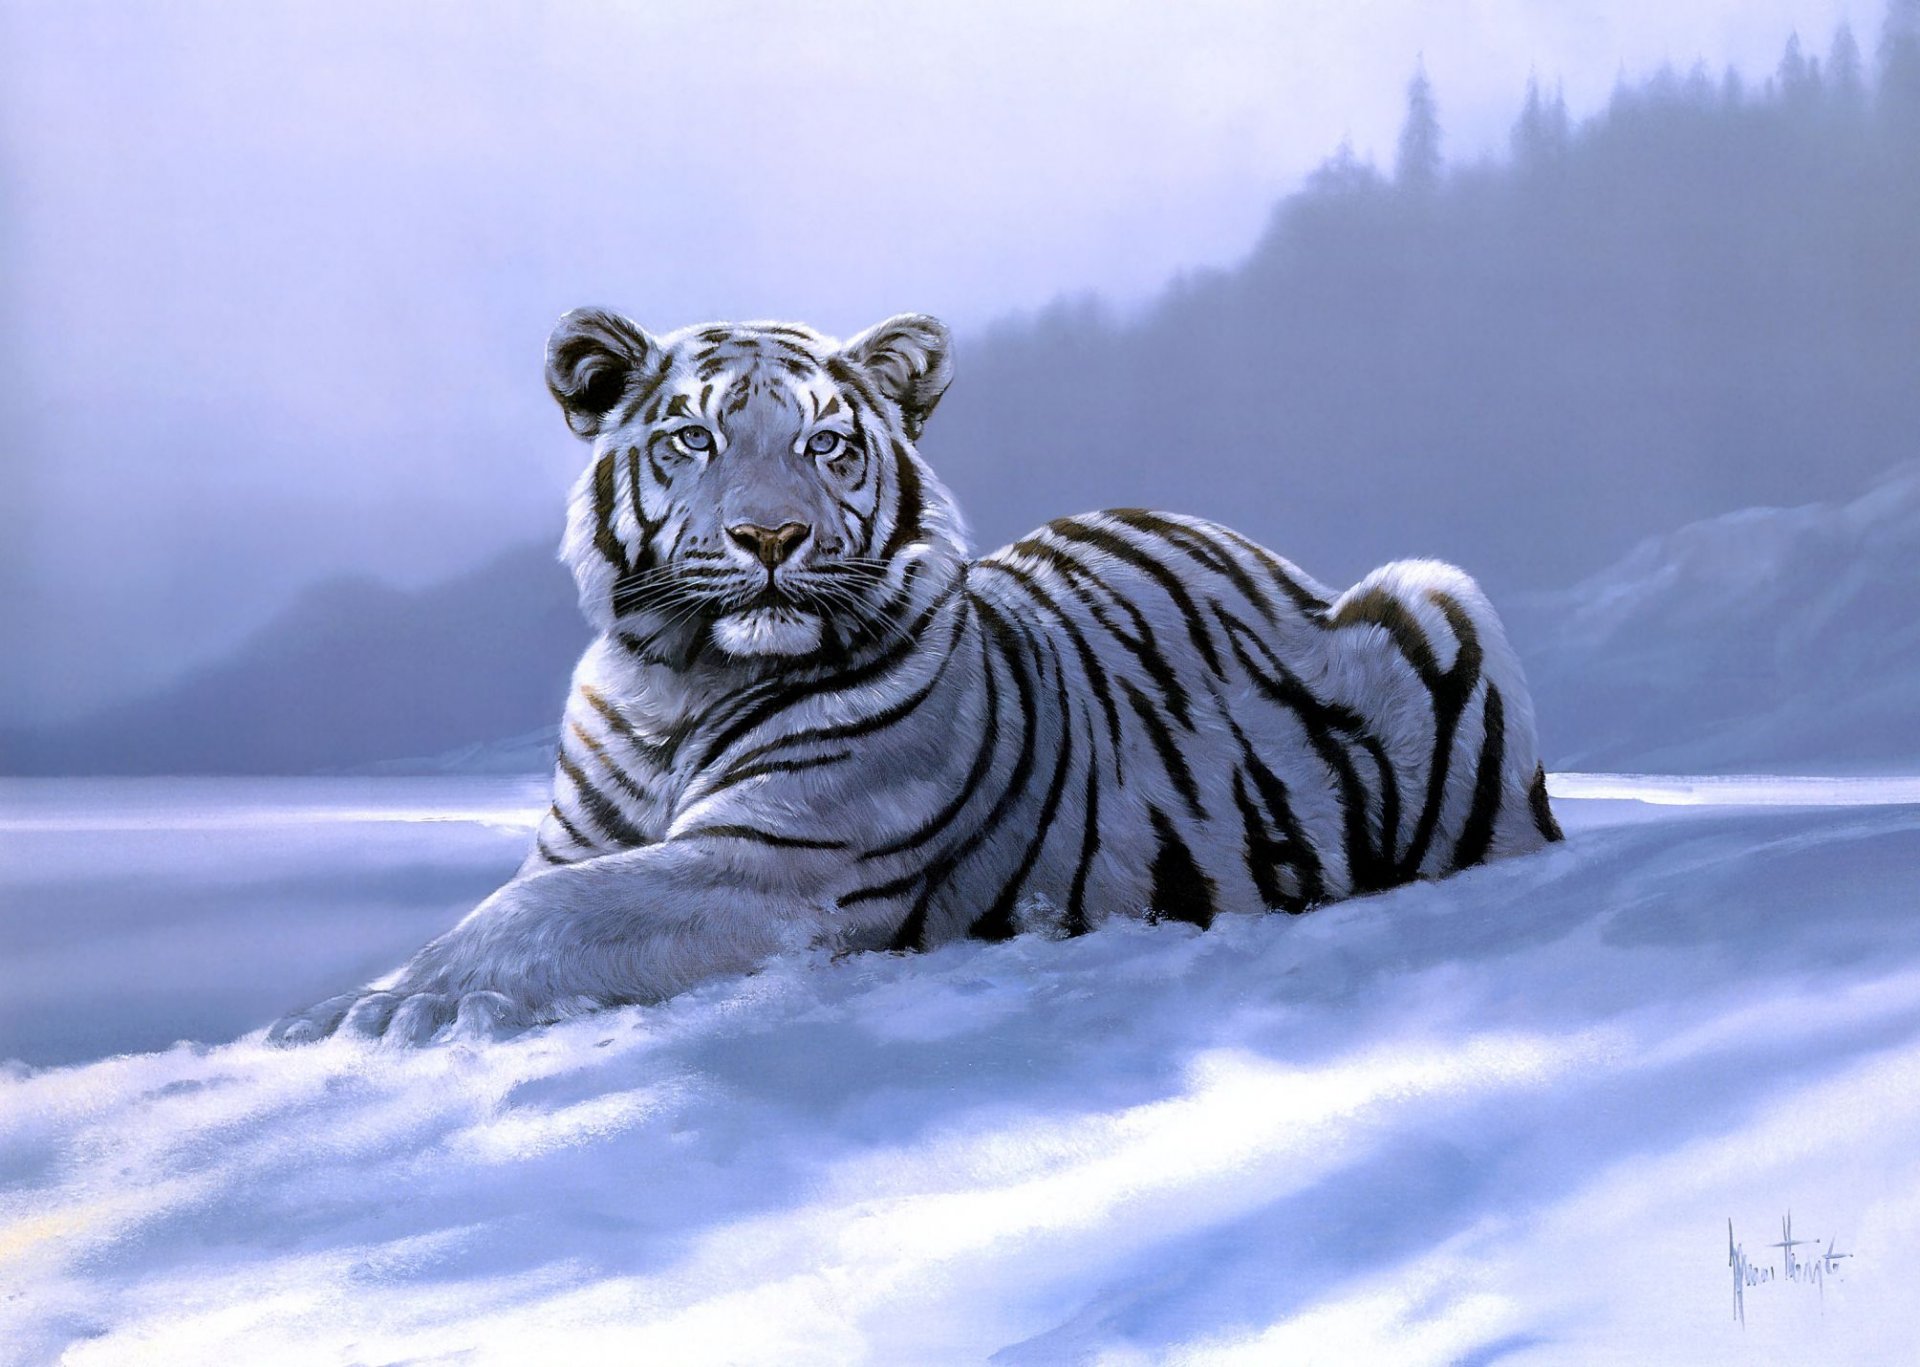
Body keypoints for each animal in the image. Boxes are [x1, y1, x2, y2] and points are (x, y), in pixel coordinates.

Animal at [269, 308, 1563, 1046]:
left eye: (826, 442)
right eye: (692, 438)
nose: (771, 537)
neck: (676, 681)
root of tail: (1272, 555)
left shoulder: (775, 861)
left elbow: (539, 913)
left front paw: (375, 1006)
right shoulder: (583, 838)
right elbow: (525, 894)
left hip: (1441, 592)